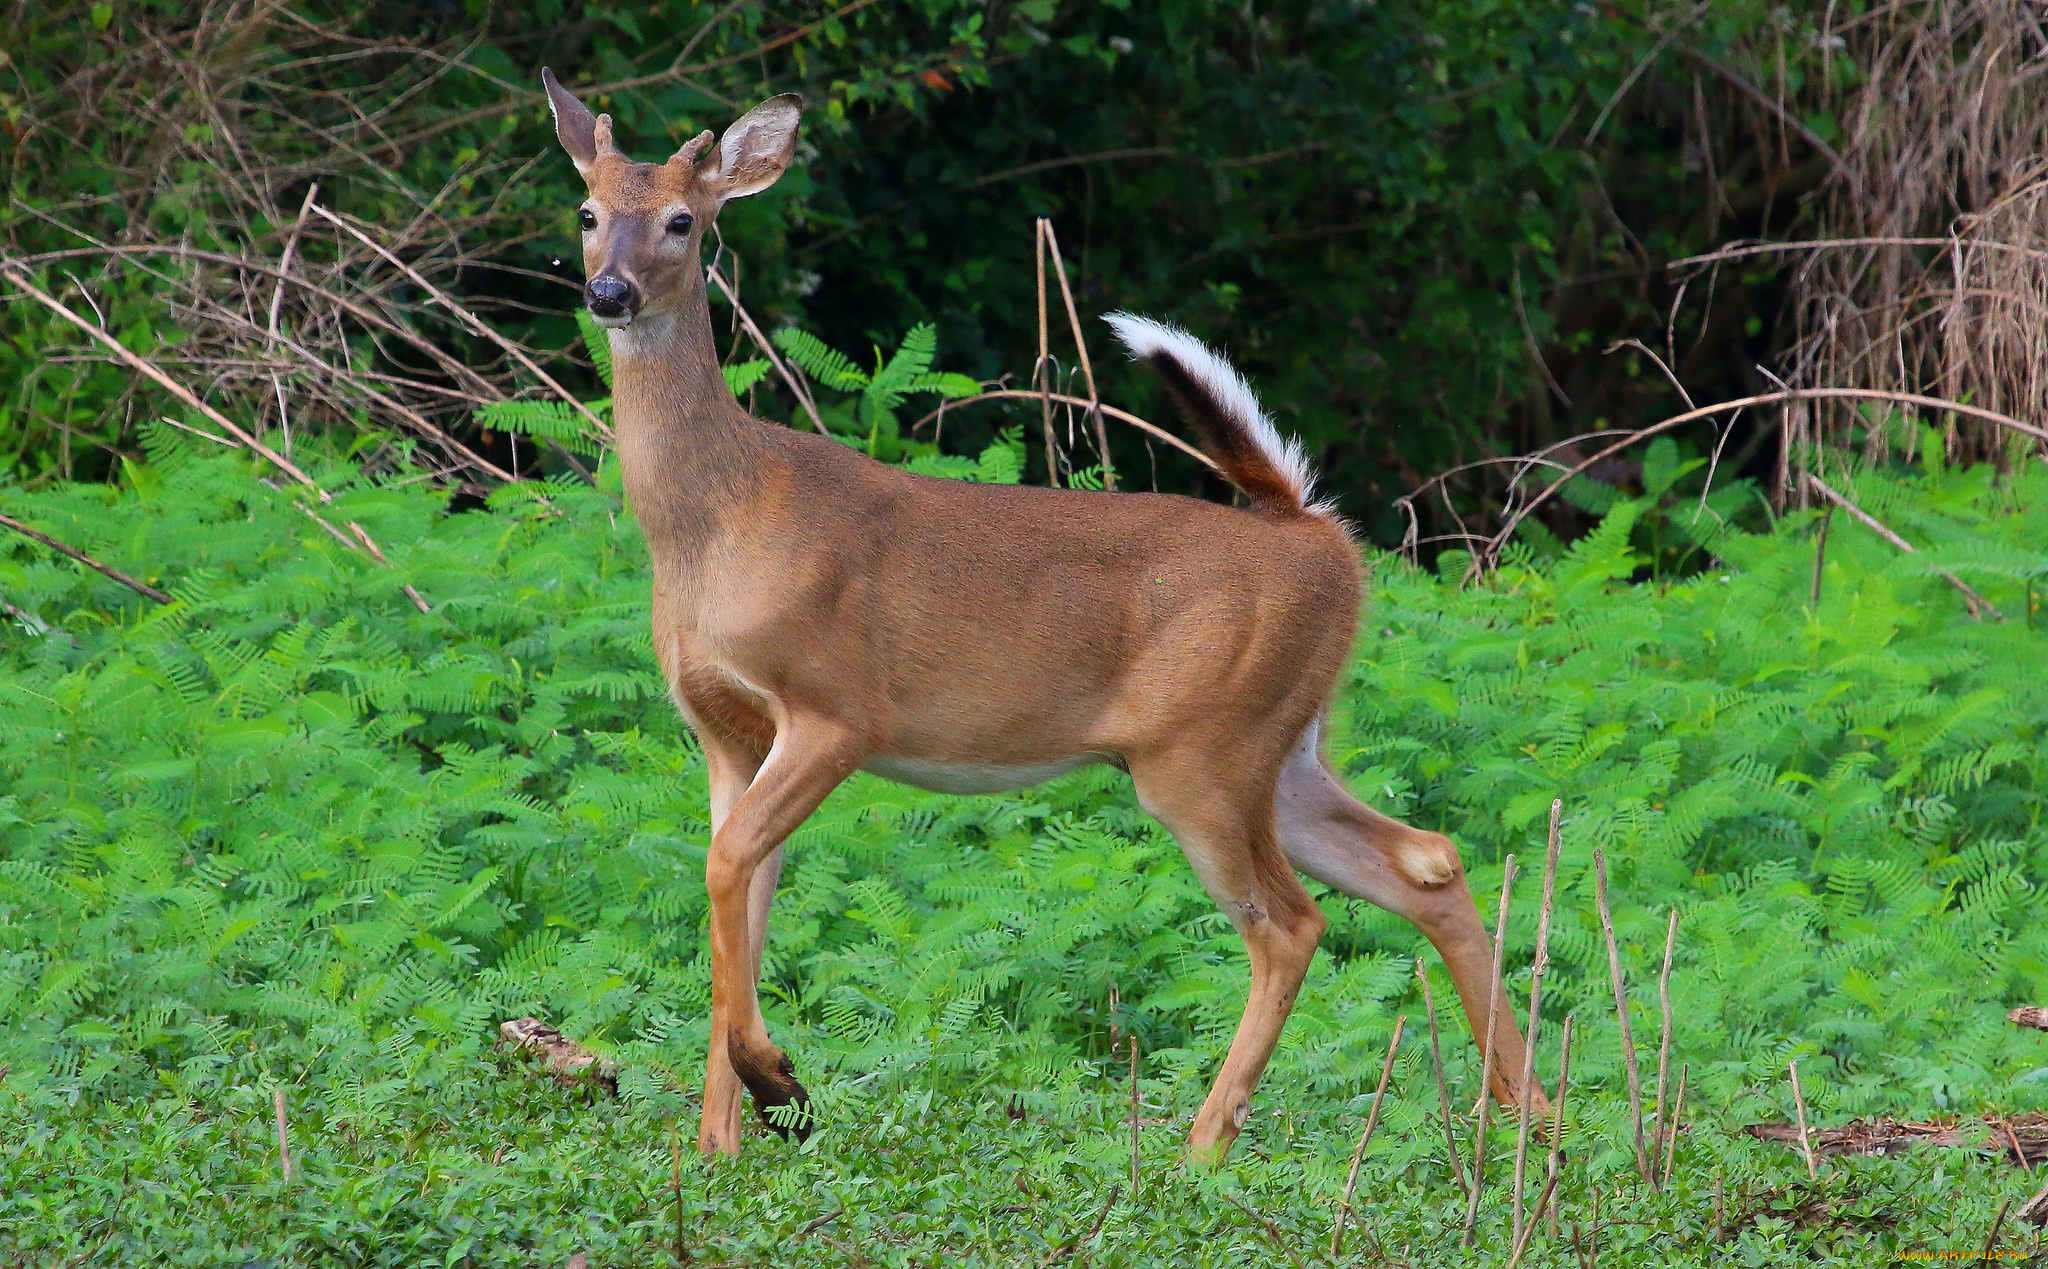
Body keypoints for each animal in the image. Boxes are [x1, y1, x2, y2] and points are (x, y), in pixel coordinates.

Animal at [536, 67, 1540, 1162]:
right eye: (588, 211)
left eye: (683, 220)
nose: (608, 292)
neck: (716, 525)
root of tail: (1320, 538)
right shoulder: (725, 729)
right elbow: (738, 895)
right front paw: (726, 1139)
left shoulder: (836, 708)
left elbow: (727, 869)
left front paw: (775, 1083)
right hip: (1280, 742)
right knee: (1424, 860)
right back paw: (1531, 1113)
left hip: (1206, 747)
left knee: (1291, 923)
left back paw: (1199, 1150)